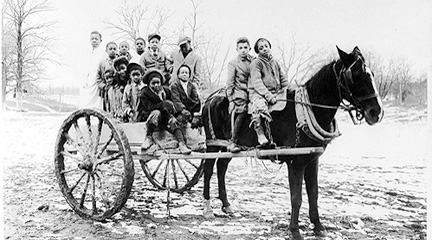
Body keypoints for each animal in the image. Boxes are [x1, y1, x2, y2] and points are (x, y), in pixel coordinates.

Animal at [201, 46, 384, 239]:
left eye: (371, 74)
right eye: (355, 75)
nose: (377, 112)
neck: (308, 109)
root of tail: (210, 99)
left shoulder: (312, 160)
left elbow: (313, 194)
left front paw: (318, 226)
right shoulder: (295, 162)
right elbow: (296, 198)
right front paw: (295, 230)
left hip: (227, 147)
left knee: (221, 168)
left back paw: (227, 205)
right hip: (212, 144)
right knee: (208, 170)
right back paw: (207, 208)